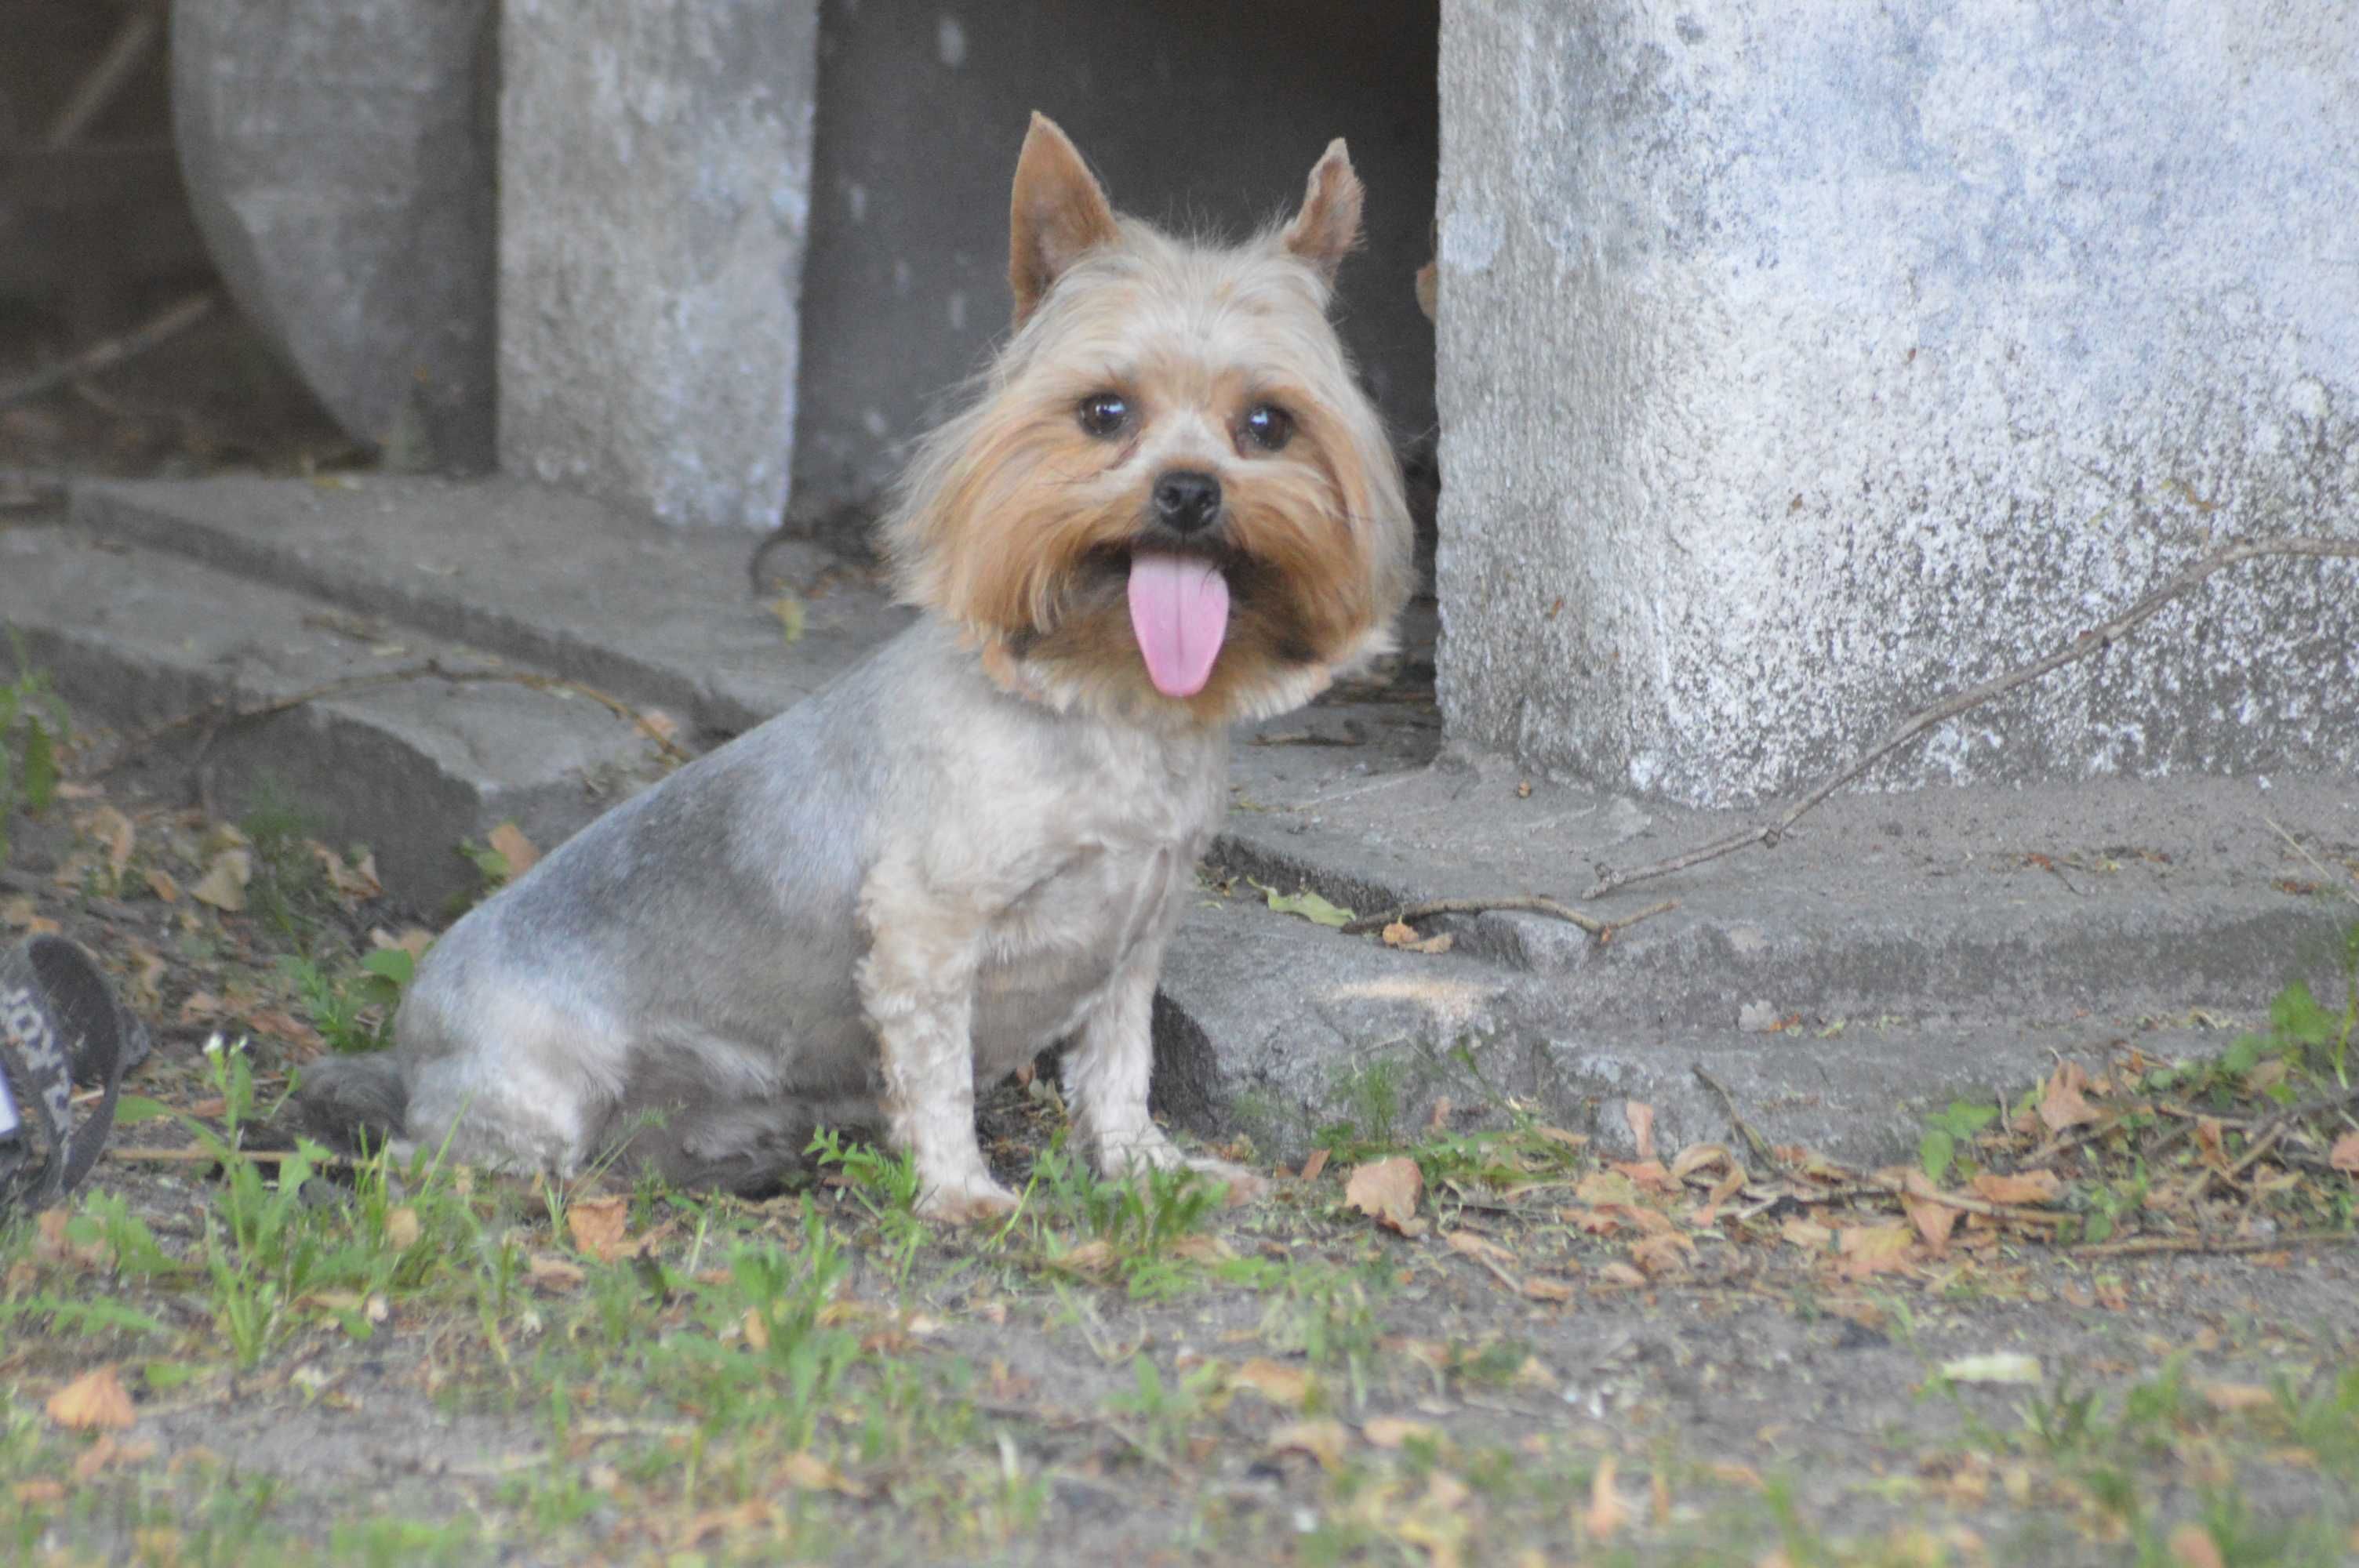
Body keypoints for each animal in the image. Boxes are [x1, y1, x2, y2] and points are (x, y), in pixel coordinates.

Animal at [292, 116, 1396, 1216]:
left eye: (1268, 424)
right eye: (1104, 412)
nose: (1189, 491)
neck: (1103, 697)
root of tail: (409, 1043)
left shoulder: (1132, 945)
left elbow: (1118, 1067)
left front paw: (1144, 1169)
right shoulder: (924, 933)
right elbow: (939, 1074)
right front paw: (963, 1194)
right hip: (527, 1094)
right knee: (438, 1160)